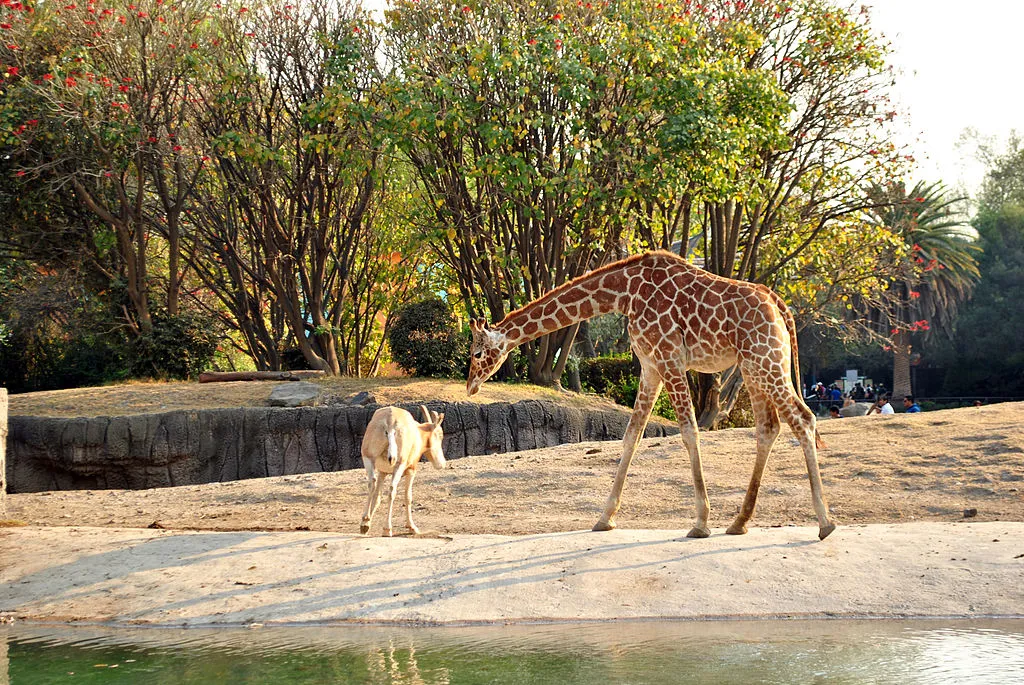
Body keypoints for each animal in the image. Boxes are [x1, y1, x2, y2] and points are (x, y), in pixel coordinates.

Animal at [468, 250, 835, 540]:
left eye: (476, 353)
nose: (471, 385)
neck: (624, 292)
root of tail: (780, 306)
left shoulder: (669, 358)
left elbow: (688, 431)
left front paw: (700, 522)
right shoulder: (650, 366)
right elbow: (632, 435)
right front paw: (604, 518)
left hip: (765, 360)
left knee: (804, 418)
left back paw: (825, 522)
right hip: (753, 366)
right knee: (768, 428)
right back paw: (739, 522)